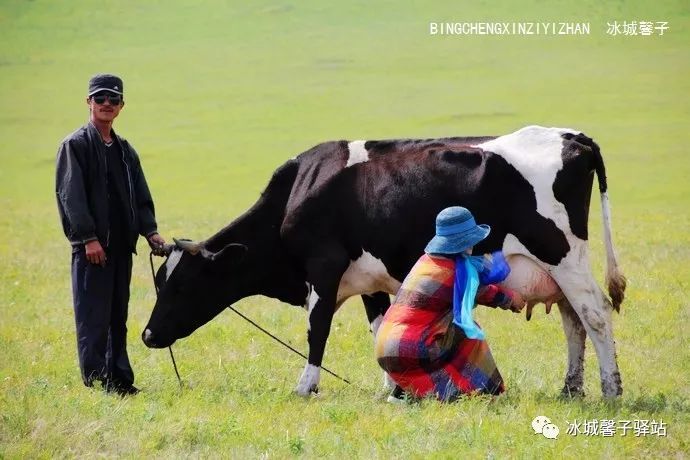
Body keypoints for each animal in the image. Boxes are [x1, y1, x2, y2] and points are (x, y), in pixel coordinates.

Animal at [142, 125, 626, 398]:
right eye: (159, 282)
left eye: (181, 284)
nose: (146, 334)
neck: (298, 192)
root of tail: (572, 136)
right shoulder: (369, 281)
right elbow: (380, 328)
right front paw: (393, 387)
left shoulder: (323, 269)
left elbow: (316, 330)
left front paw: (306, 386)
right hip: (555, 272)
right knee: (573, 321)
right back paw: (571, 389)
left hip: (563, 257)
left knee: (595, 314)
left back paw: (611, 389)